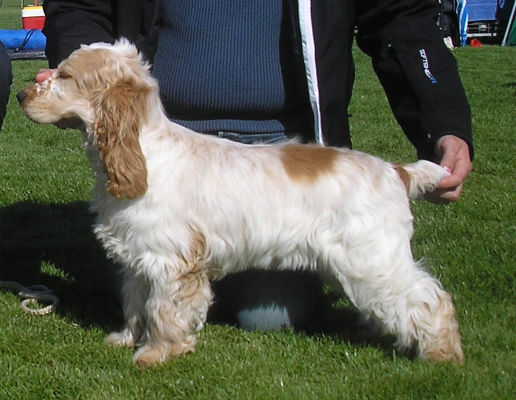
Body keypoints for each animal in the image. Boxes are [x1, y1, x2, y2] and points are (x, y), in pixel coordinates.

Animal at [18, 39, 464, 368]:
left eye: (65, 76)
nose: (21, 93)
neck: (145, 150)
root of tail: (396, 170)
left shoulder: (171, 260)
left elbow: (163, 311)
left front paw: (155, 354)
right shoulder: (138, 258)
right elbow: (135, 303)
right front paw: (125, 339)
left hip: (372, 259)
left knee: (430, 298)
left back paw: (442, 355)